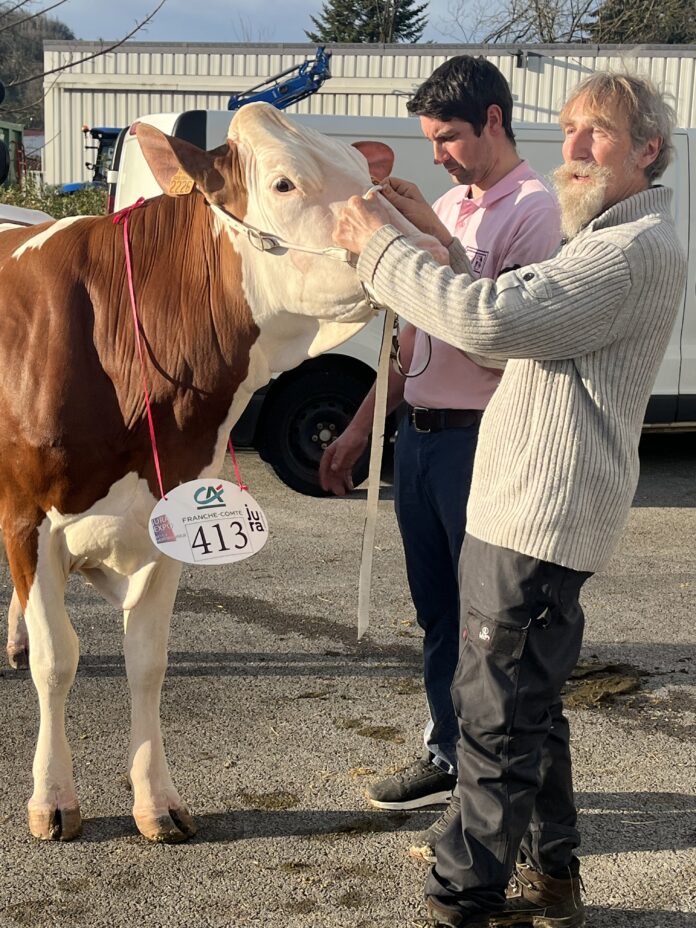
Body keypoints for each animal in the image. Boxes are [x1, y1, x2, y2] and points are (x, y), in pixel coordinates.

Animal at [0, 105, 400, 844]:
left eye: (367, 173)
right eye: (284, 183)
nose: (421, 243)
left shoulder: (168, 521)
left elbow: (146, 660)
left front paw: (156, 800)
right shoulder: (28, 515)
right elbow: (57, 658)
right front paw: (52, 798)